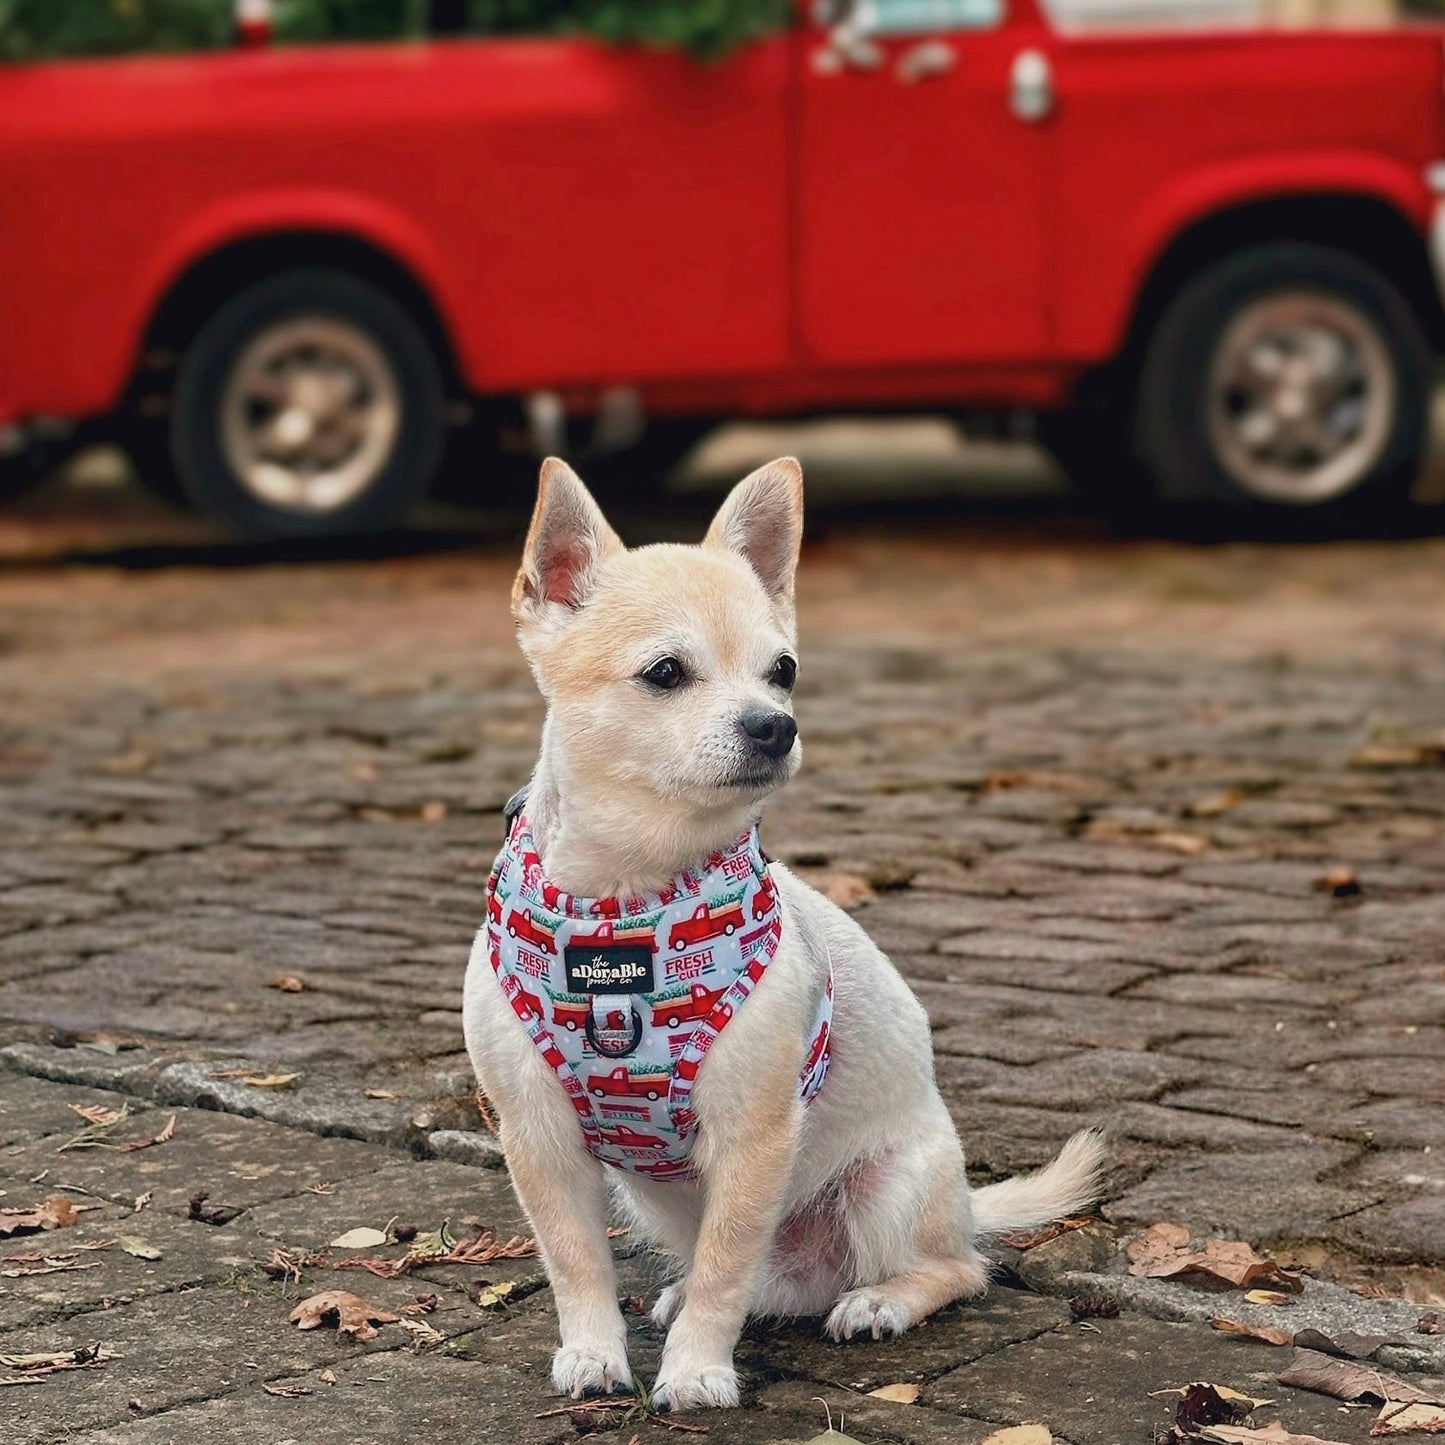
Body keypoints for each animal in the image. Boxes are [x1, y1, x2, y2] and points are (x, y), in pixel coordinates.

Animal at [465, 459, 1103, 1410]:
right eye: (665, 672)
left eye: (783, 670)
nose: (774, 723)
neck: (628, 906)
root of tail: (961, 1202)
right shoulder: (538, 1139)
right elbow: (574, 1260)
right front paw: (591, 1352)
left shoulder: (753, 1139)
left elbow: (726, 1266)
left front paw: (696, 1368)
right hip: (649, 1195)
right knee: (758, 1275)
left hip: (887, 1187)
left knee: (950, 1268)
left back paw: (880, 1299)